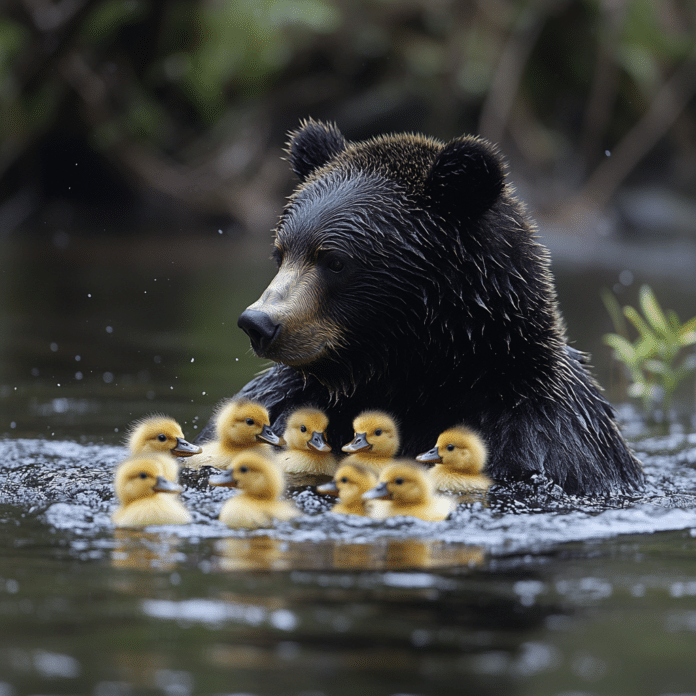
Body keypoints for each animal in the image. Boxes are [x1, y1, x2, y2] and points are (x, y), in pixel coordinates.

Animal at [198, 118, 644, 494]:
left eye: (335, 261)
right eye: (281, 252)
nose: (258, 323)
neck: (415, 372)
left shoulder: (539, 437)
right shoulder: (284, 400)